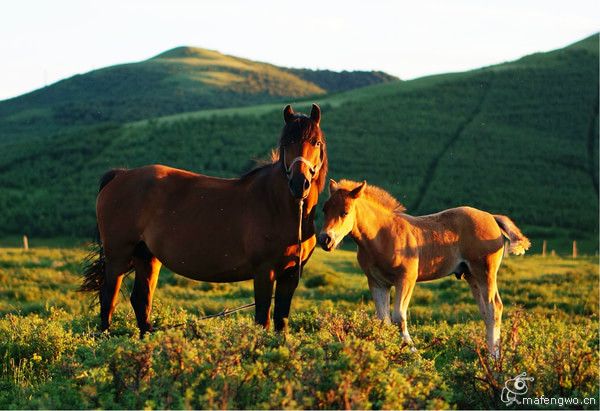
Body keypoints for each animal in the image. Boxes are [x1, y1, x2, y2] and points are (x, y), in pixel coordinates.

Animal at [80, 104, 328, 336]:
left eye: (316, 143)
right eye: (286, 143)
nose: (299, 184)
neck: (279, 206)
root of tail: (120, 175)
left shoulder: (289, 276)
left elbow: (280, 322)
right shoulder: (264, 272)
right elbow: (263, 319)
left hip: (146, 257)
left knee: (141, 300)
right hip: (118, 257)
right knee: (108, 297)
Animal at [318, 180, 528, 358]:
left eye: (345, 212)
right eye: (324, 209)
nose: (325, 239)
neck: (381, 235)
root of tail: (492, 217)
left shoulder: (406, 279)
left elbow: (399, 318)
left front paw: (413, 354)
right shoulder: (377, 282)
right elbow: (383, 321)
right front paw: (382, 351)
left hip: (485, 272)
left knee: (494, 307)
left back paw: (494, 357)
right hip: (471, 276)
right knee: (485, 311)